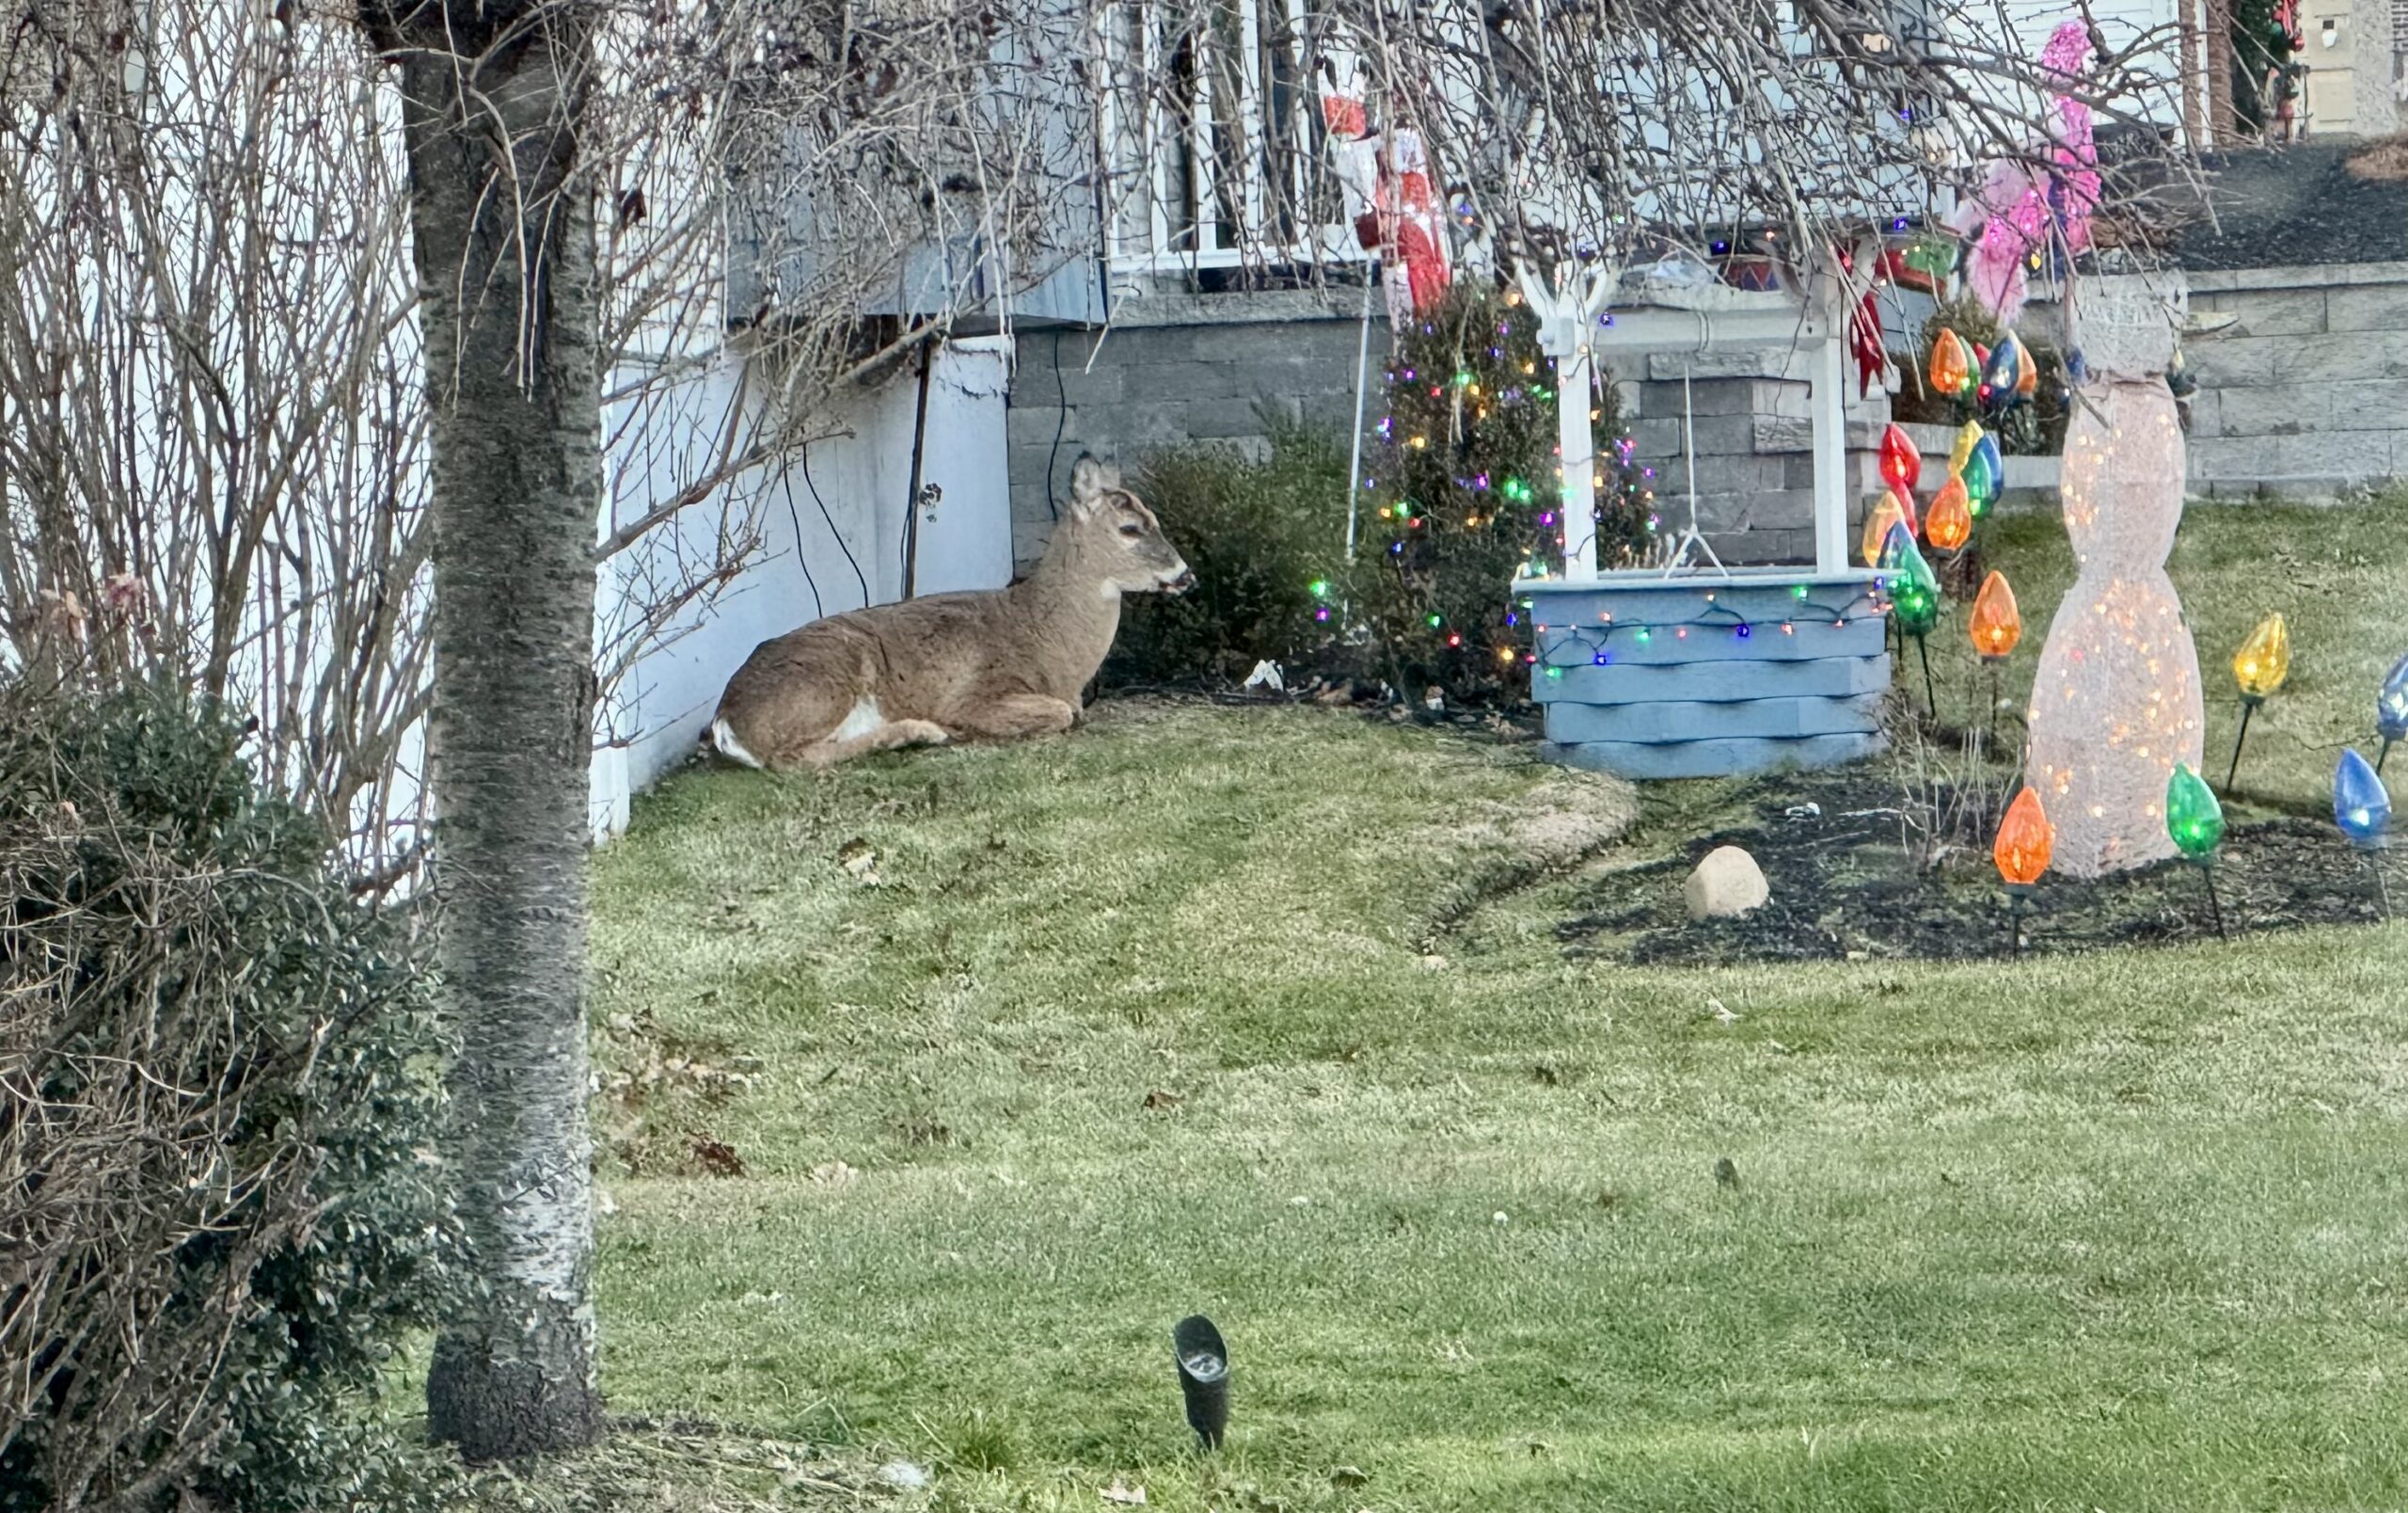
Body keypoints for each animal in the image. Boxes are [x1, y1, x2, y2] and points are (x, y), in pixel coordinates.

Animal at [706, 455, 1193, 770]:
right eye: (1129, 529)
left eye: (1155, 519)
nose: (1186, 575)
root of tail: (725, 718)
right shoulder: (976, 692)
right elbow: (1062, 715)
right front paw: (962, 729)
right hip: (825, 683)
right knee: (790, 759)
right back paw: (924, 732)